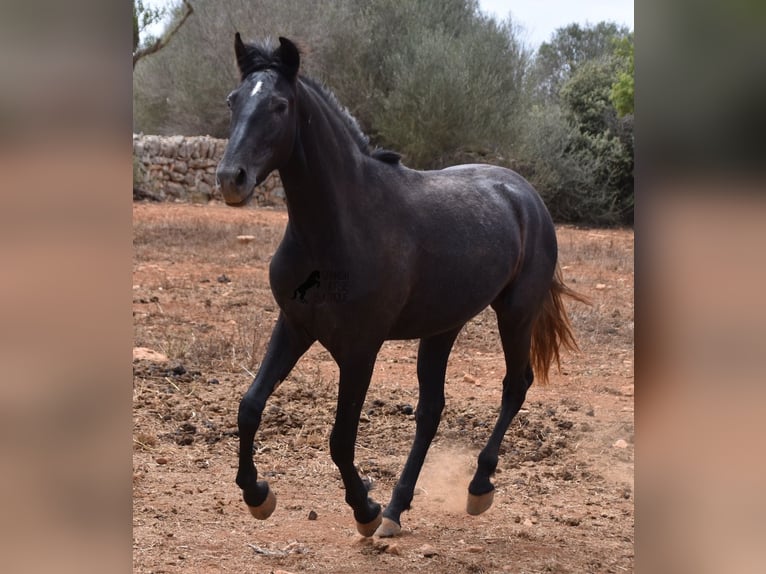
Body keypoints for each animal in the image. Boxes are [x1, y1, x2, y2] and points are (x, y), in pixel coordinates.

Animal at [213, 35, 584, 540]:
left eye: (279, 104)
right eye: (233, 100)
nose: (232, 178)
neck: (339, 229)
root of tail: (525, 195)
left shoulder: (360, 349)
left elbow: (340, 439)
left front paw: (363, 509)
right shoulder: (293, 325)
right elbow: (249, 406)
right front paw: (258, 496)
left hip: (516, 311)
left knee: (515, 385)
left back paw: (476, 488)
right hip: (443, 327)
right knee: (431, 410)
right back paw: (397, 508)